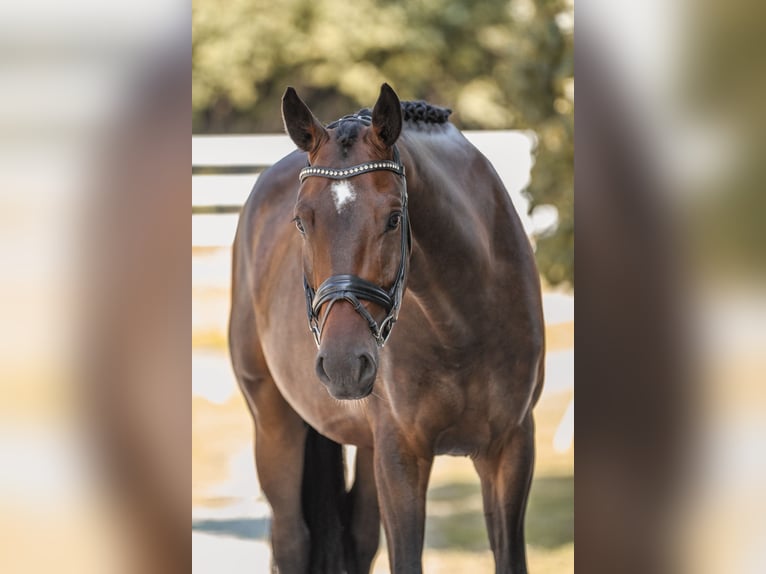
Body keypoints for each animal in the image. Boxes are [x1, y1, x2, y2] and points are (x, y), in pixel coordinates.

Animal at [230, 83, 544, 572]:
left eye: (394, 218)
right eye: (300, 221)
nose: (342, 365)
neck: (461, 326)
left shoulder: (511, 448)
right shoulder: (401, 455)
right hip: (273, 419)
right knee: (291, 538)